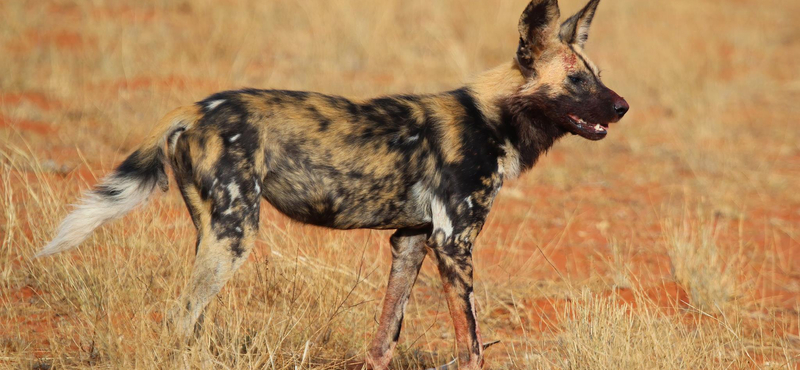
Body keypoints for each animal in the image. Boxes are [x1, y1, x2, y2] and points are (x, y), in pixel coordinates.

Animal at [37, 0, 628, 368]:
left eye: (597, 75)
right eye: (577, 81)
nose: (622, 106)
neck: (493, 119)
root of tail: (196, 107)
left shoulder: (412, 241)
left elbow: (384, 339)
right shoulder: (453, 243)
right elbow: (473, 348)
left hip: (213, 232)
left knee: (190, 319)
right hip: (235, 236)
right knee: (180, 320)